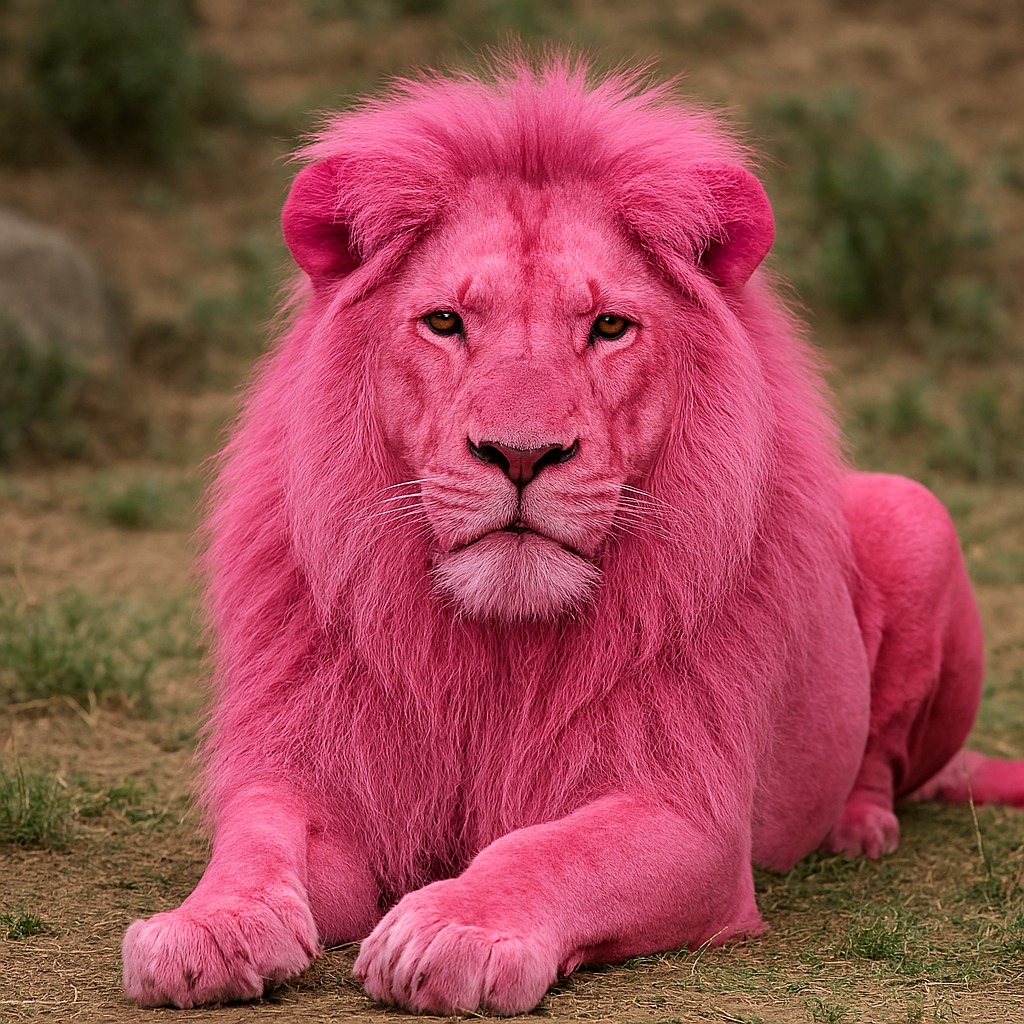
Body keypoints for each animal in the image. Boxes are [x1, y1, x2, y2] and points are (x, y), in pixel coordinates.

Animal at [121, 56, 1024, 1015]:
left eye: (609, 326)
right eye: (446, 322)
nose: (522, 455)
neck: (495, 649)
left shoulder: (689, 818)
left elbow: (550, 849)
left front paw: (454, 929)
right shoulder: (324, 774)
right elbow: (257, 834)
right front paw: (206, 927)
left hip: (915, 511)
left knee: (883, 756)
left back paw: (860, 825)